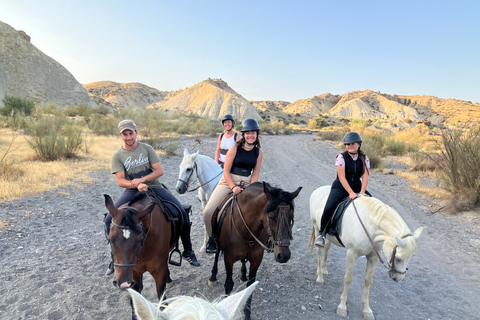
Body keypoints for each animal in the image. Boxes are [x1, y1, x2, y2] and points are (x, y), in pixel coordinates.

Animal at [209, 181, 302, 318]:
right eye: (271, 216)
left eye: (292, 217)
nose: (284, 255)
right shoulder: (228, 258)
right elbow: (229, 284)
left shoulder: (257, 258)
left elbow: (250, 286)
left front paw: (247, 314)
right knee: (216, 255)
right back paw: (213, 276)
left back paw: (243, 274)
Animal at [310, 186, 426, 318]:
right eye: (398, 258)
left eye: (411, 257)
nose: (399, 278)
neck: (370, 226)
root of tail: (319, 189)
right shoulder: (351, 254)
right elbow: (348, 279)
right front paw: (342, 307)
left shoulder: (373, 257)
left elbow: (368, 281)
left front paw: (367, 310)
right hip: (317, 229)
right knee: (319, 252)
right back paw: (319, 276)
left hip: (329, 236)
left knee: (326, 249)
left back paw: (324, 270)